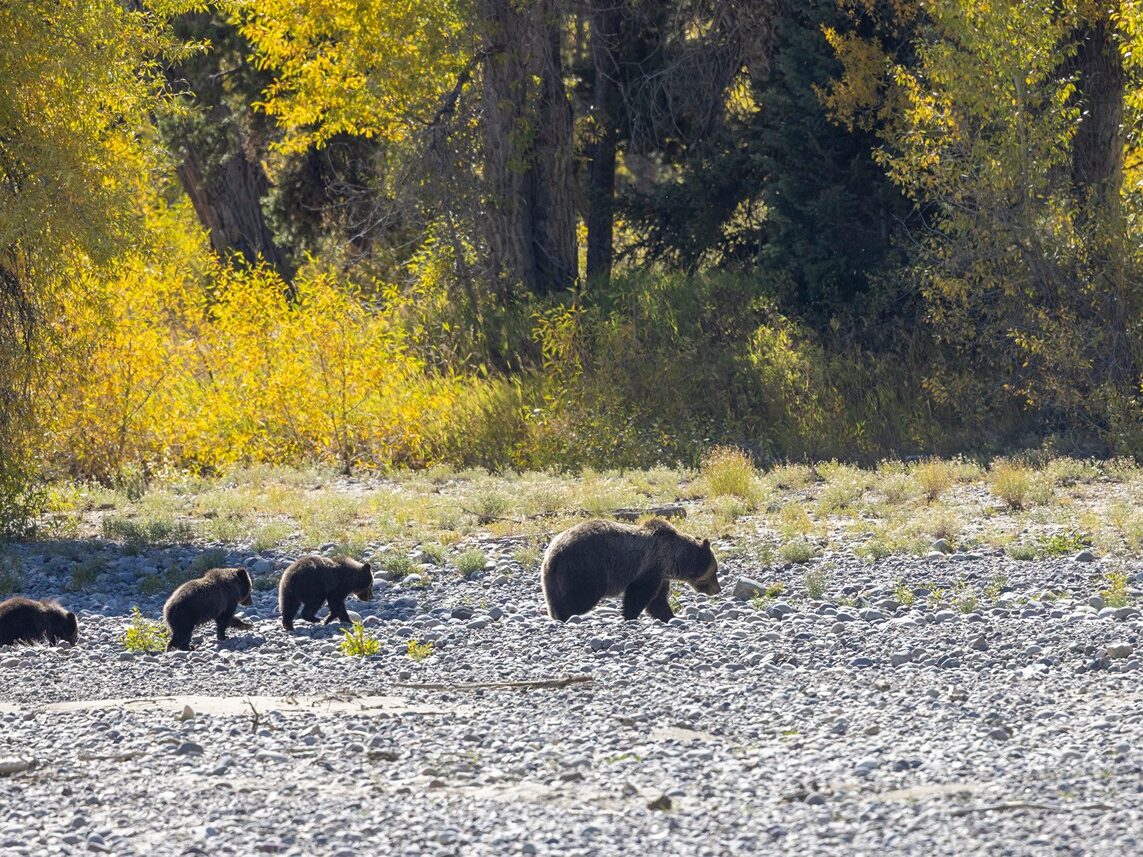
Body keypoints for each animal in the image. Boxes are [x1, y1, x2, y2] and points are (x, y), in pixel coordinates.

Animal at [541, 518, 720, 622]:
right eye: (715, 571)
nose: (718, 589)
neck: (673, 559)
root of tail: (555, 552)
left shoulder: (661, 574)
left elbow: (658, 600)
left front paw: (670, 616)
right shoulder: (650, 566)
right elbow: (640, 594)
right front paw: (630, 615)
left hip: (552, 577)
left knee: (554, 597)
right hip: (587, 567)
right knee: (581, 596)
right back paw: (566, 615)